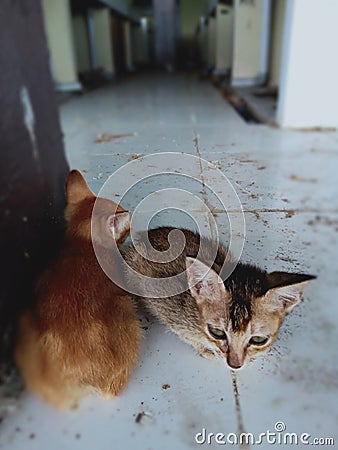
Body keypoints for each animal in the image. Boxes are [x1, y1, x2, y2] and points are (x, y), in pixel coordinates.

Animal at [123, 229, 314, 370]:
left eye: (258, 340)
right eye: (217, 332)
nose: (235, 365)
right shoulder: (173, 315)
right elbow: (187, 336)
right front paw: (206, 350)